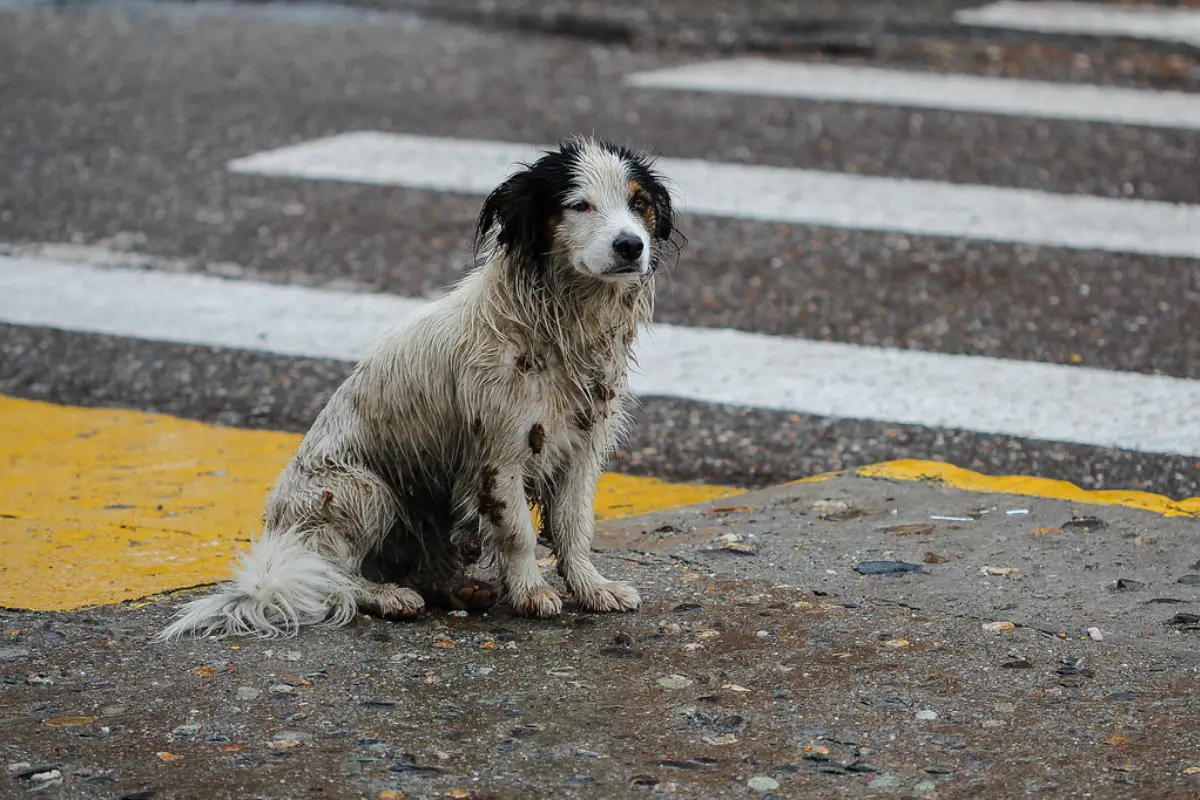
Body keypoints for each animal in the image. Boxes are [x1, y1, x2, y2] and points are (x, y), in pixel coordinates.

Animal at [159, 136, 681, 638]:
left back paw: (457, 589)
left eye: (639, 203)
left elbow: (574, 528)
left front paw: (593, 589)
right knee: (332, 577)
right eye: (579, 205)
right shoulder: (500, 455)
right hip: (362, 490)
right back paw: (386, 595)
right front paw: (531, 592)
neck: (556, 325)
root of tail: (277, 539)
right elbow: (518, 533)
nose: (631, 246)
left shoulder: (581, 447)